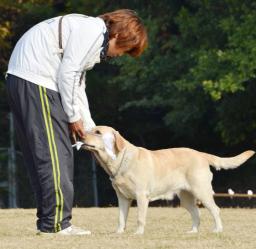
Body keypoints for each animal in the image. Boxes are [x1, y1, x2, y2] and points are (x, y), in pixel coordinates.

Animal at [82, 126, 254, 233]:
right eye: (90, 130)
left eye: (98, 132)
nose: (81, 135)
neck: (119, 160)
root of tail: (201, 154)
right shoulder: (123, 197)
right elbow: (121, 218)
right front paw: (119, 233)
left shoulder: (141, 195)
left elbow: (140, 218)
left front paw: (138, 233)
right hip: (186, 197)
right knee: (196, 213)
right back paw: (193, 231)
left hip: (202, 191)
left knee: (215, 210)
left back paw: (217, 230)